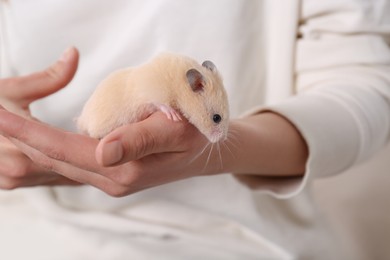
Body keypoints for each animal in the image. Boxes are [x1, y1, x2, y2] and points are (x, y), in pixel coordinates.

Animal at [76, 52, 229, 143]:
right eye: (216, 118)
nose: (222, 139)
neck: (178, 85)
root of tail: (82, 120)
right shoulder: (150, 92)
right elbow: (159, 103)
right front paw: (174, 115)